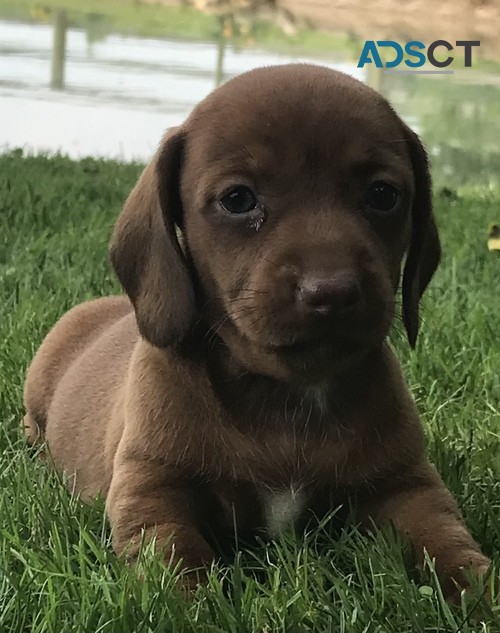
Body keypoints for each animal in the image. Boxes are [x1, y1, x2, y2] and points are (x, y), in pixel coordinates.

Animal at [23, 63, 488, 592]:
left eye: (383, 194)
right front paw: (198, 601)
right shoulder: (151, 487)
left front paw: (480, 591)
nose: (332, 291)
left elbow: (445, 541)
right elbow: (176, 566)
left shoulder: (407, 486)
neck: (288, 396)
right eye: (238, 199)